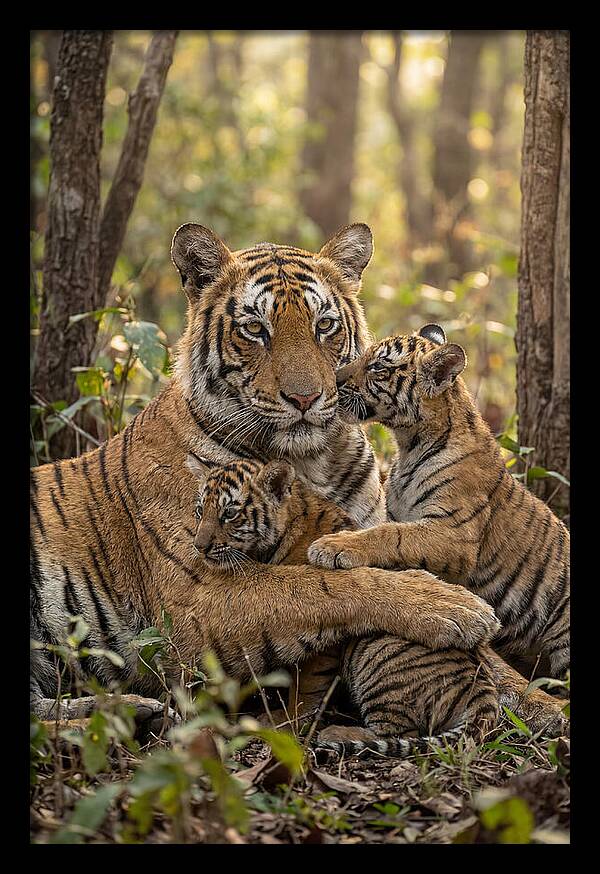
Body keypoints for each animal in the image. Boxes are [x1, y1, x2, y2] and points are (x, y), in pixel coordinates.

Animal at [30, 224, 501, 725]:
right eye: (255, 329)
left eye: (324, 326)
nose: (306, 398)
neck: (311, 460)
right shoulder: (196, 597)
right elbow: (319, 585)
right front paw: (455, 606)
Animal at [186, 452, 500, 756]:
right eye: (200, 510)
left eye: (230, 513)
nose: (199, 547)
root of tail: (484, 691)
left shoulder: (324, 634)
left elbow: (307, 686)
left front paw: (287, 721)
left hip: (376, 654)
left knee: (400, 732)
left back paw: (337, 733)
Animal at [308, 324, 570, 732]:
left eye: (378, 368)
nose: (333, 380)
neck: (409, 443)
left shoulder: (453, 533)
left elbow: (392, 536)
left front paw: (334, 546)